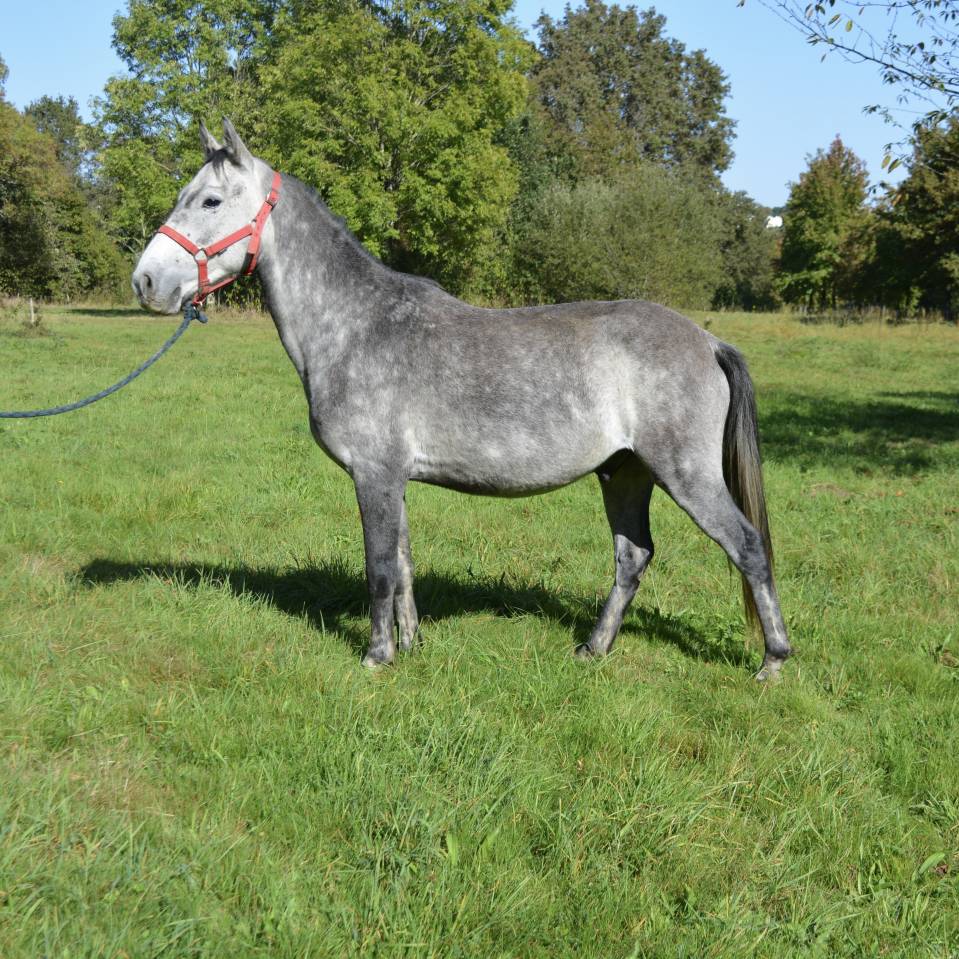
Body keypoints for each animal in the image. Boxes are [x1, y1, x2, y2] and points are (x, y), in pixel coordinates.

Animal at [132, 119, 792, 681]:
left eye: (209, 201)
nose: (145, 281)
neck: (356, 324)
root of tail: (707, 341)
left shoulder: (373, 475)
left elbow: (378, 568)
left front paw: (375, 657)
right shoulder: (392, 479)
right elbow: (402, 567)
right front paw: (410, 644)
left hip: (685, 474)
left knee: (747, 547)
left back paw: (772, 661)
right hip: (624, 473)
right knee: (633, 557)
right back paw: (593, 648)